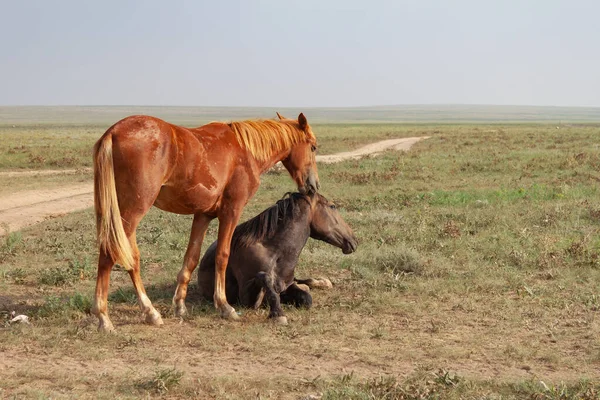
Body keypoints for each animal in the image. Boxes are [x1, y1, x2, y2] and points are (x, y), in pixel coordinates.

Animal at [91, 112, 318, 332]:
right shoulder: (231, 211)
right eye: (313, 147)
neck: (245, 151)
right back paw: (104, 318)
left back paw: (150, 312)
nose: (313, 186)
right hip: (131, 212)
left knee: (131, 258)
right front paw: (224, 306)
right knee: (110, 253)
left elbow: (191, 258)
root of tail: (113, 132)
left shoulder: (203, 215)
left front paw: (180, 306)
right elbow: (222, 256)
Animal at [197, 192, 356, 324]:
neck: (274, 253)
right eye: (332, 206)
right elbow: (265, 279)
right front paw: (278, 314)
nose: (354, 240)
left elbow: (306, 298)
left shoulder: (287, 285)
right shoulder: (245, 298)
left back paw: (322, 282)